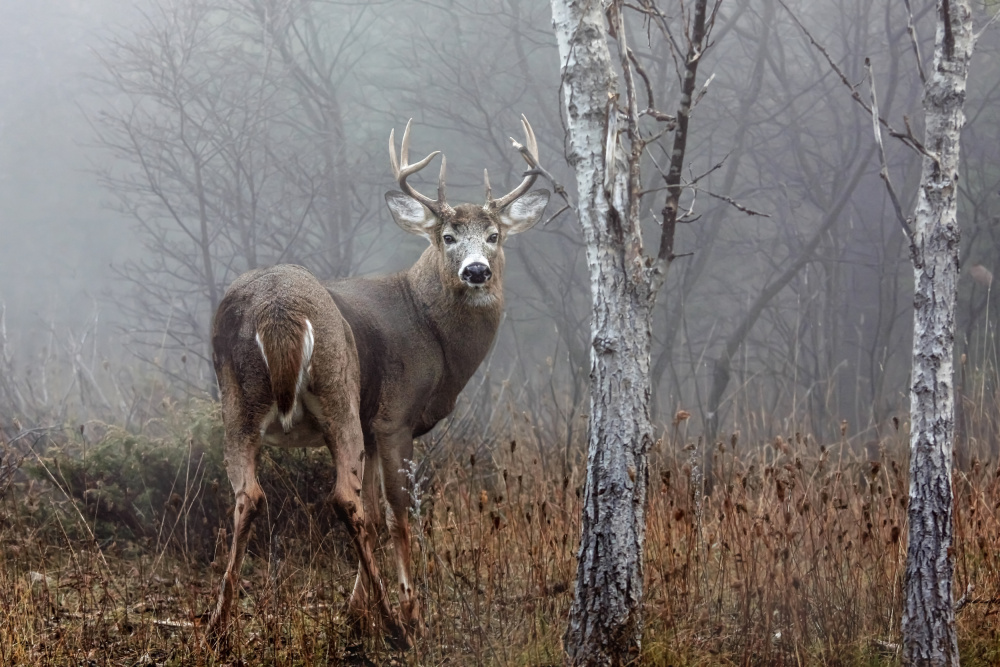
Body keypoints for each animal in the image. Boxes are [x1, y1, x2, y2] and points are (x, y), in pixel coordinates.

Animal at [203, 117, 548, 648]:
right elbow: (397, 511)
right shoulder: (392, 417)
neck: (429, 329)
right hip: (338, 390)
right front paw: (408, 613)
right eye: (447, 236)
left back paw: (219, 626)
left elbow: (372, 507)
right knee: (342, 499)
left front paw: (355, 613)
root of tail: (278, 310)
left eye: (494, 235)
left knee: (251, 496)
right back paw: (395, 621)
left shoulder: (370, 428)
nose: (476, 271)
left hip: (237, 401)